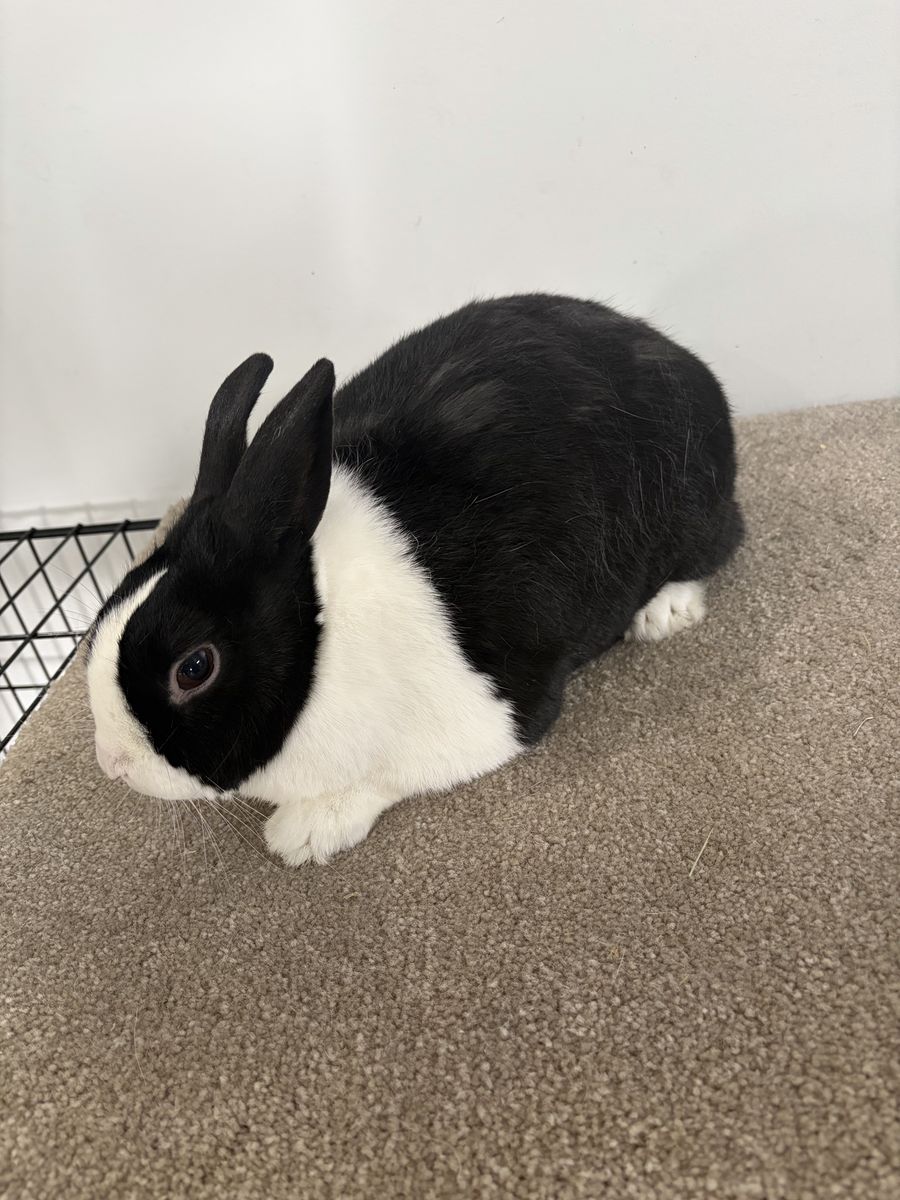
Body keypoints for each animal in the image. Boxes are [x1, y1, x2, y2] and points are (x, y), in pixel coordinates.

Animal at [87, 294, 743, 865]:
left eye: (195, 667)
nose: (112, 764)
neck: (323, 635)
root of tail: (678, 357)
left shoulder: (486, 719)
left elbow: (385, 777)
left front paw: (303, 835)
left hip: (693, 512)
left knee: (718, 545)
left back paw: (663, 614)